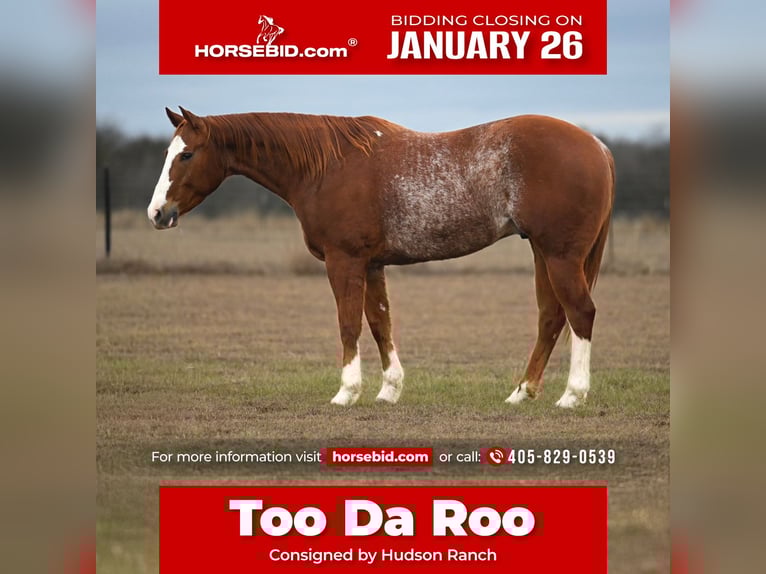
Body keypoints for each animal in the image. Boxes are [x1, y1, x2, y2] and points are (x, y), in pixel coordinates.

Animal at [148, 107, 614, 408]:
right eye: (168, 154)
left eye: (186, 154)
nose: (157, 213)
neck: (326, 166)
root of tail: (596, 144)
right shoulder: (371, 264)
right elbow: (378, 323)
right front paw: (389, 389)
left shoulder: (344, 261)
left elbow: (349, 324)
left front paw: (346, 392)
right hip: (542, 253)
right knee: (551, 317)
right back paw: (521, 393)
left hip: (559, 256)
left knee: (581, 313)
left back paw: (571, 396)